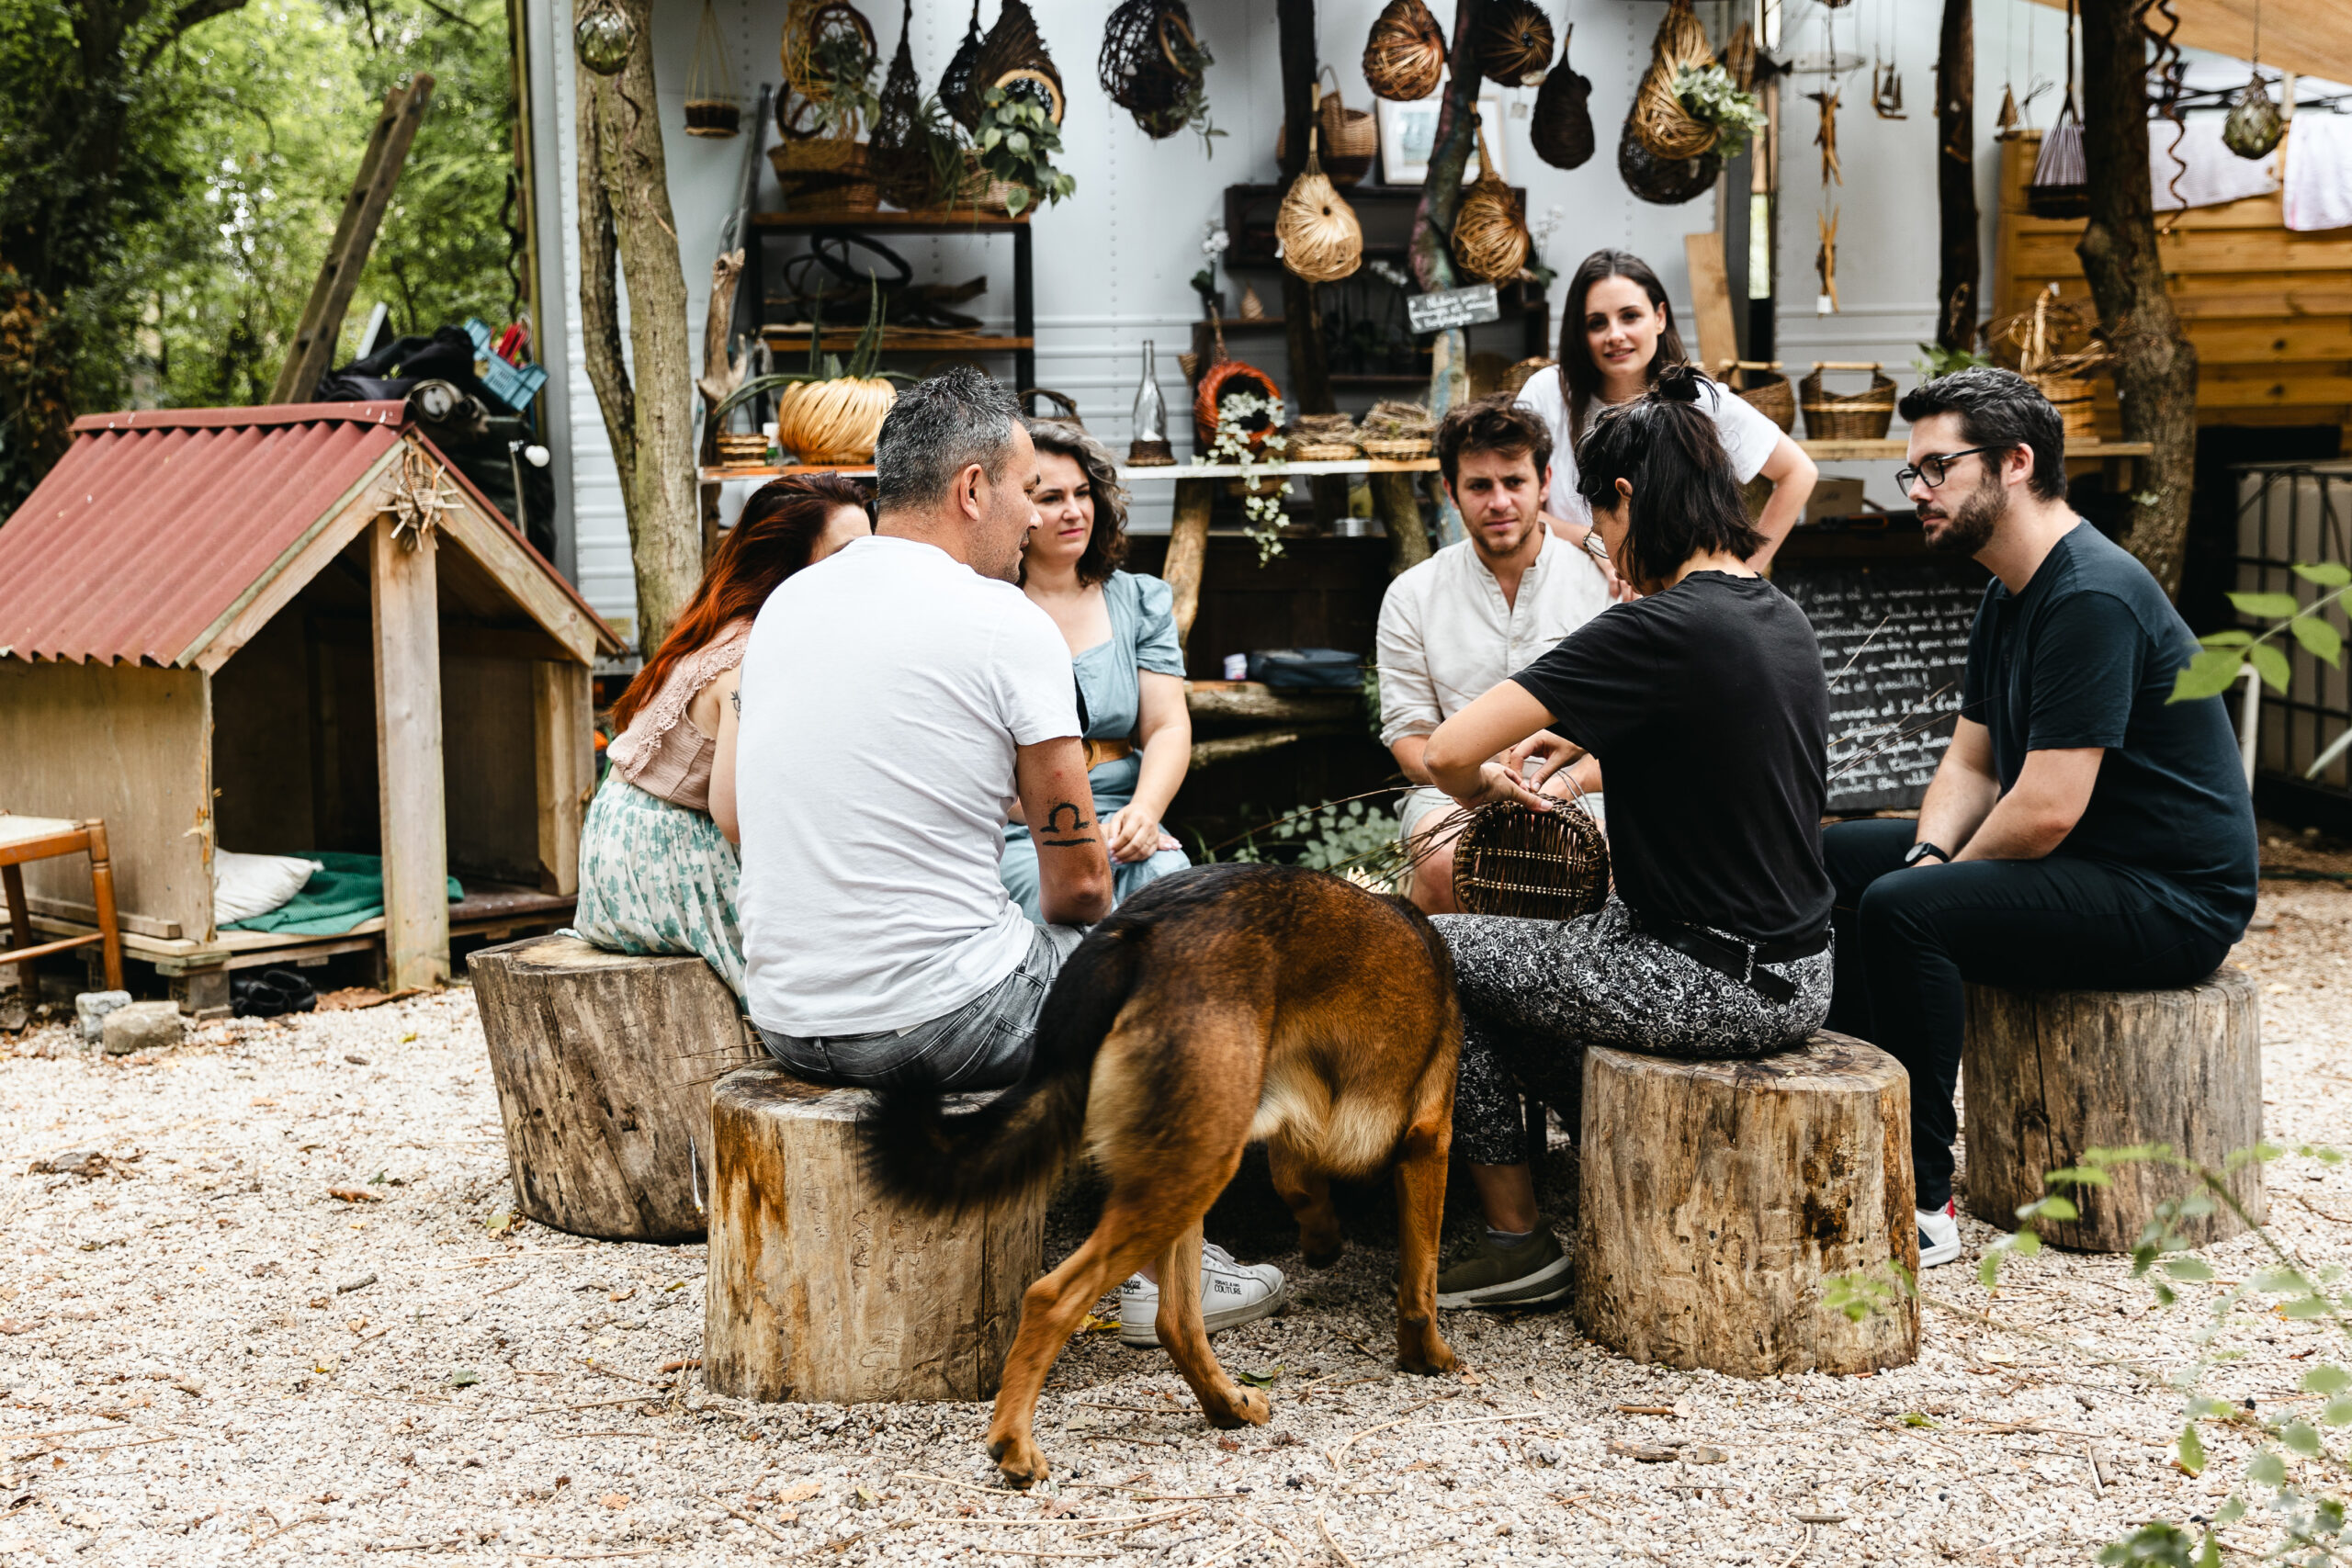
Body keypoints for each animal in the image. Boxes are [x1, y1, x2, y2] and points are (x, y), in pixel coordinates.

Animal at [855, 864, 1458, 1495]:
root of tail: (1136, 927)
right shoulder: (1429, 1139)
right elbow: (1421, 1280)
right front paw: (1427, 1354)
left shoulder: (1291, 1123)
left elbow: (1298, 1184)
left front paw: (1323, 1242)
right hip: (1197, 1167)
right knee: (1052, 1298)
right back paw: (1016, 1445)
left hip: (1195, 1161)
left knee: (1176, 1322)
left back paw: (1228, 1405)